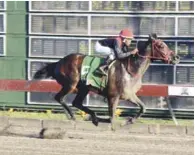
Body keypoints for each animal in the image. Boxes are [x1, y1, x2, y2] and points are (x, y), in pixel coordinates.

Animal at [28, 34, 181, 130]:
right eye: (161, 45)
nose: (176, 57)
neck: (131, 69)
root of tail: (58, 62)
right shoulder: (113, 96)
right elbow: (112, 117)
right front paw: (112, 123)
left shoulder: (129, 95)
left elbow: (143, 108)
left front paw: (128, 121)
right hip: (71, 84)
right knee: (59, 98)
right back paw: (72, 116)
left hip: (83, 88)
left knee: (76, 102)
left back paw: (93, 117)